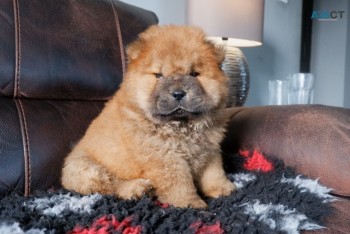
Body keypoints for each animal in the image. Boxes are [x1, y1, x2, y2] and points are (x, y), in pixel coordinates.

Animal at [61, 25, 235, 208]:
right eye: (159, 75)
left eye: (194, 74)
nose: (178, 93)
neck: (181, 126)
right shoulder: (165, 157)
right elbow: (179, 182)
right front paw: (189, 203)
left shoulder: (210, 148)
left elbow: (214, 172)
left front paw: (222, 189)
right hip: (86, 169)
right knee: (111, 186)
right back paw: (137, 188)